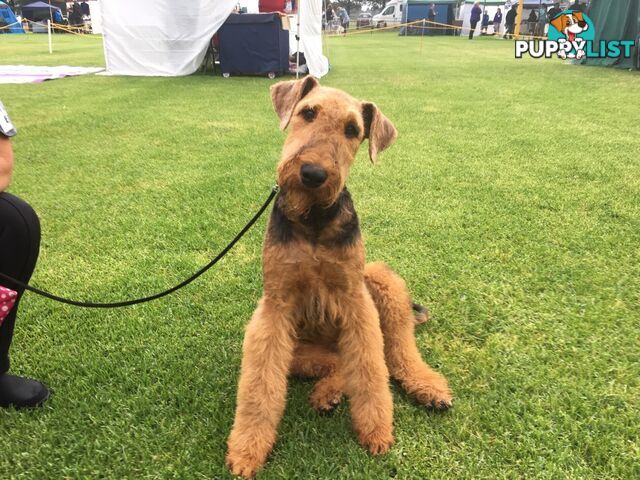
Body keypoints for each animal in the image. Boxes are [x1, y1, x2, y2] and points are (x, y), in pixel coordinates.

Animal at [228, 77, 452, 478]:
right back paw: (327, 394)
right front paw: (247, 450)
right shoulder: (274, 307)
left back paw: (429, 388)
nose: (313, 174)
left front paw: (376, 432)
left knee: (393, 353)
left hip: (380, 280)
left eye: (352, 130)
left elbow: (370, 369)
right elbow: (259, 386)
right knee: (338, 363)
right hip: (299, 349)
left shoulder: (354, 300)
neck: (313, 218)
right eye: (307, 112)